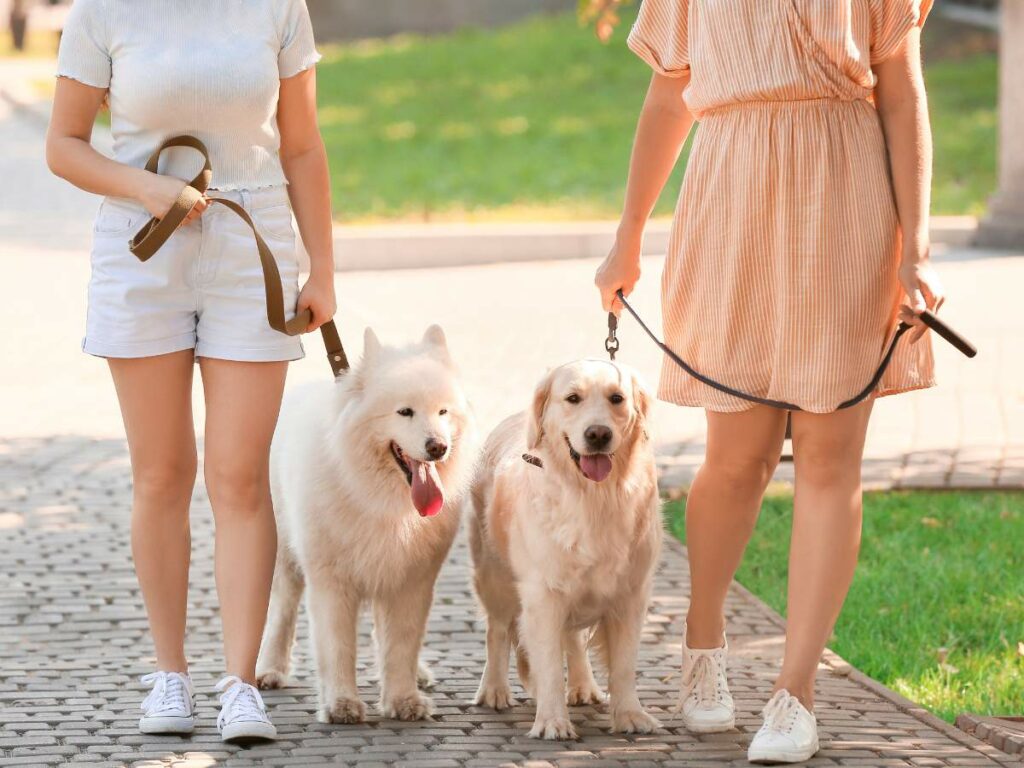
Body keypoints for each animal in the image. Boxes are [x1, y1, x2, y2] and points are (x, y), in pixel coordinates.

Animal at [256, 327, 479, 724]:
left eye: (443, 411)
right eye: (404, 412)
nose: (438, 447)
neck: (383, 500)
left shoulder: (411, 580)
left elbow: (401, 644)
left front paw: (404, 700)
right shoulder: (331, 583)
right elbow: (337, 648)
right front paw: (341, 705)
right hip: (284, 558)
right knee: (281, 613)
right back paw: (270, 670)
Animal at [468, 360, 659, 741]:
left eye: (617, 398)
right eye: (573, 398)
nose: (598, 434)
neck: (594, 498)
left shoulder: (631, 594)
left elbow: (624, 664)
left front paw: (630, 714)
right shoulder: (543, 594)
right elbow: (550, 665)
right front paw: (552, 722)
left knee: (573, 638)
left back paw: (584, 687)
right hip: (493, 575)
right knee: (497, 629)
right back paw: (494, 690)